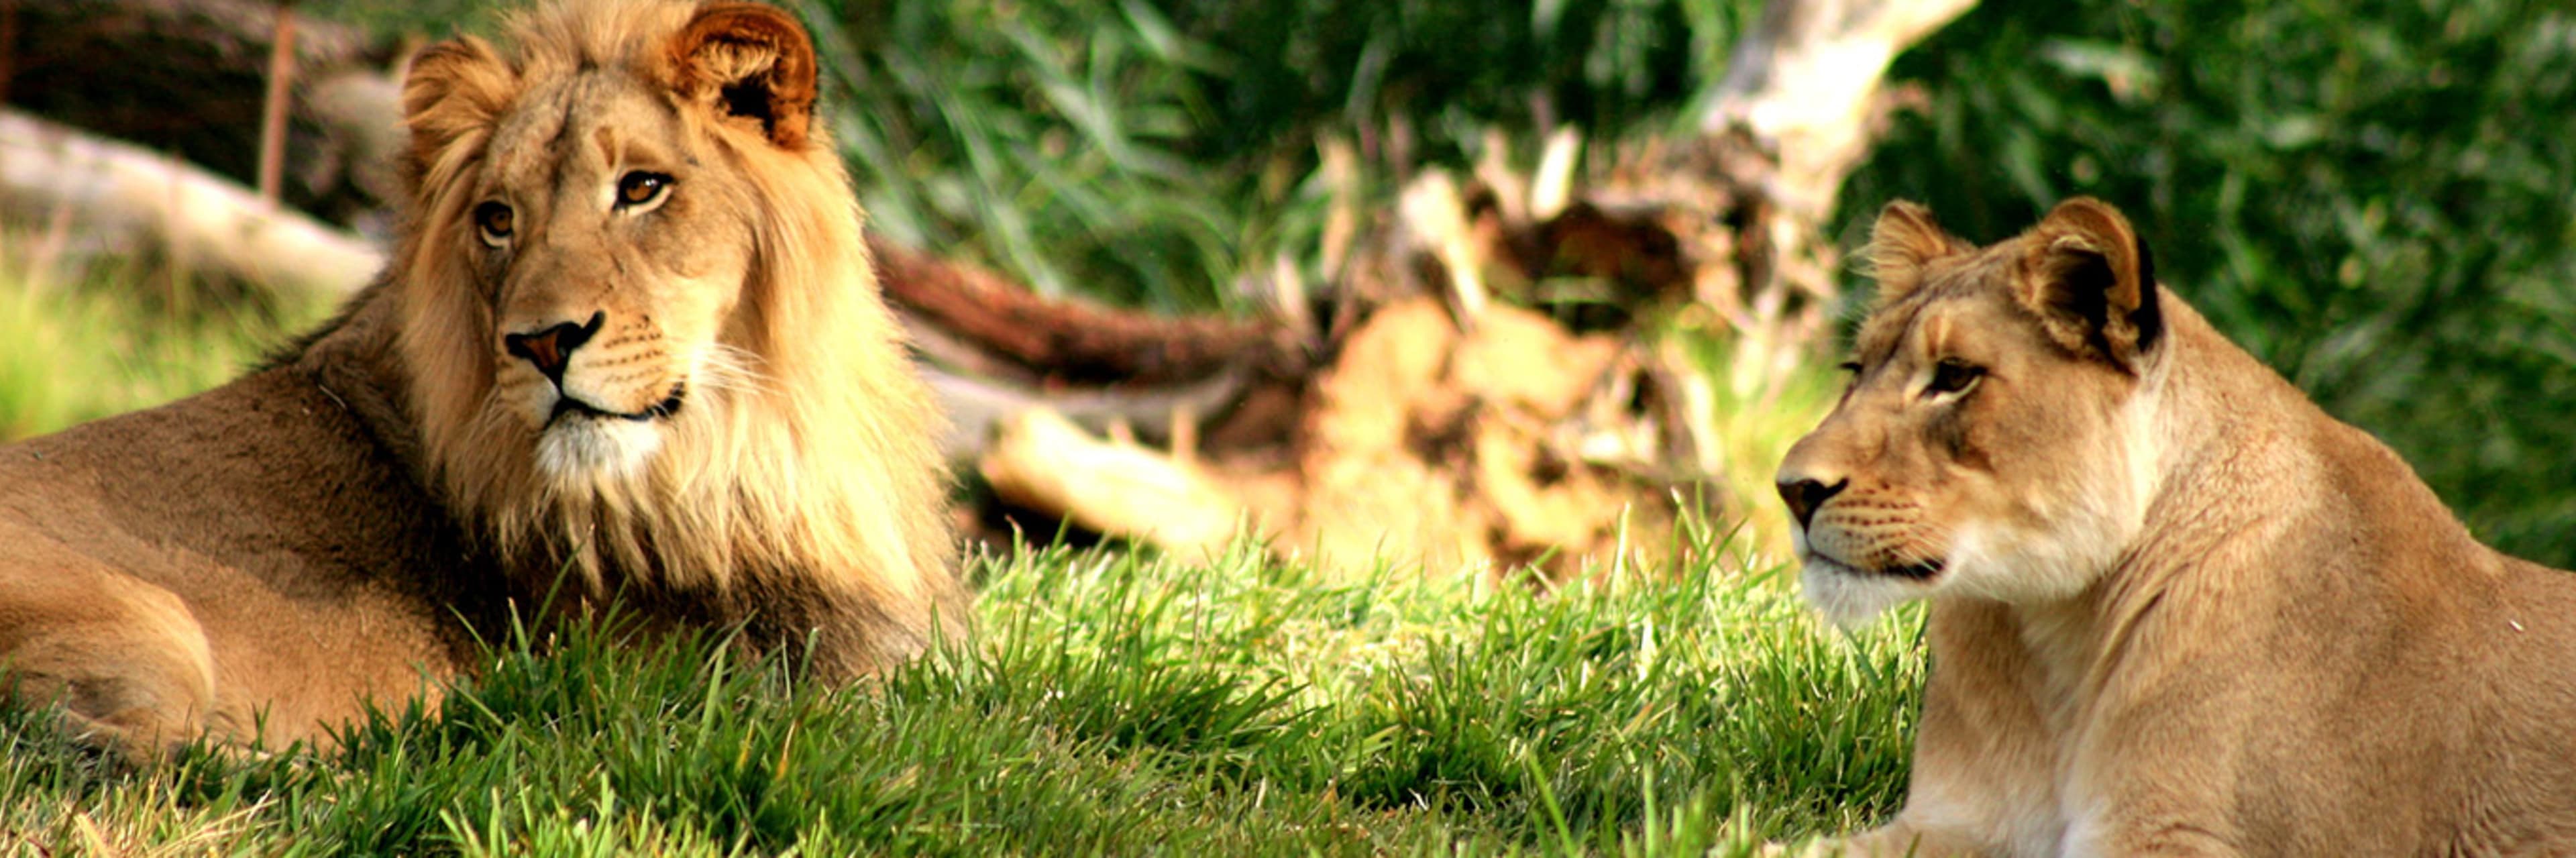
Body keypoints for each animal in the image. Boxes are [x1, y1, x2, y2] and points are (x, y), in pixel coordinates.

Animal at [0, 0, 963, 752]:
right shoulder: (735, 689)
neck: (744, 457)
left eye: (642, 188)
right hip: (141, 624)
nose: (544, 342)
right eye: (499, 219)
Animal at [1782, 197, 2576, 850]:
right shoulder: (1954, 824)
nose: (1792, 489)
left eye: (1954, 375)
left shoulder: (2177, 835)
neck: (2055, 638)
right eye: (1856, 369)